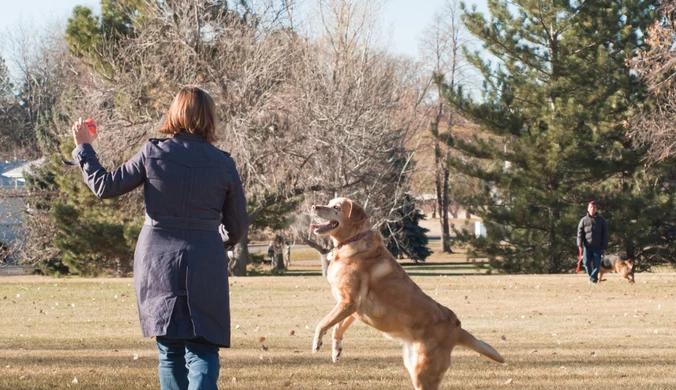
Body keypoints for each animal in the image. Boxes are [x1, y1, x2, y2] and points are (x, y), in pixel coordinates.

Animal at [312, 198, 502, 390]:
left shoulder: (349, 302)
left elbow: (323, 323)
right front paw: (336, 350)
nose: (313, 206)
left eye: (336, 207)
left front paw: (316, 342)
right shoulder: (351, 308)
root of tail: (457, 329)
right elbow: (337, 326)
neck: (352, 240)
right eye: (329, 203)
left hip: (424, 373)